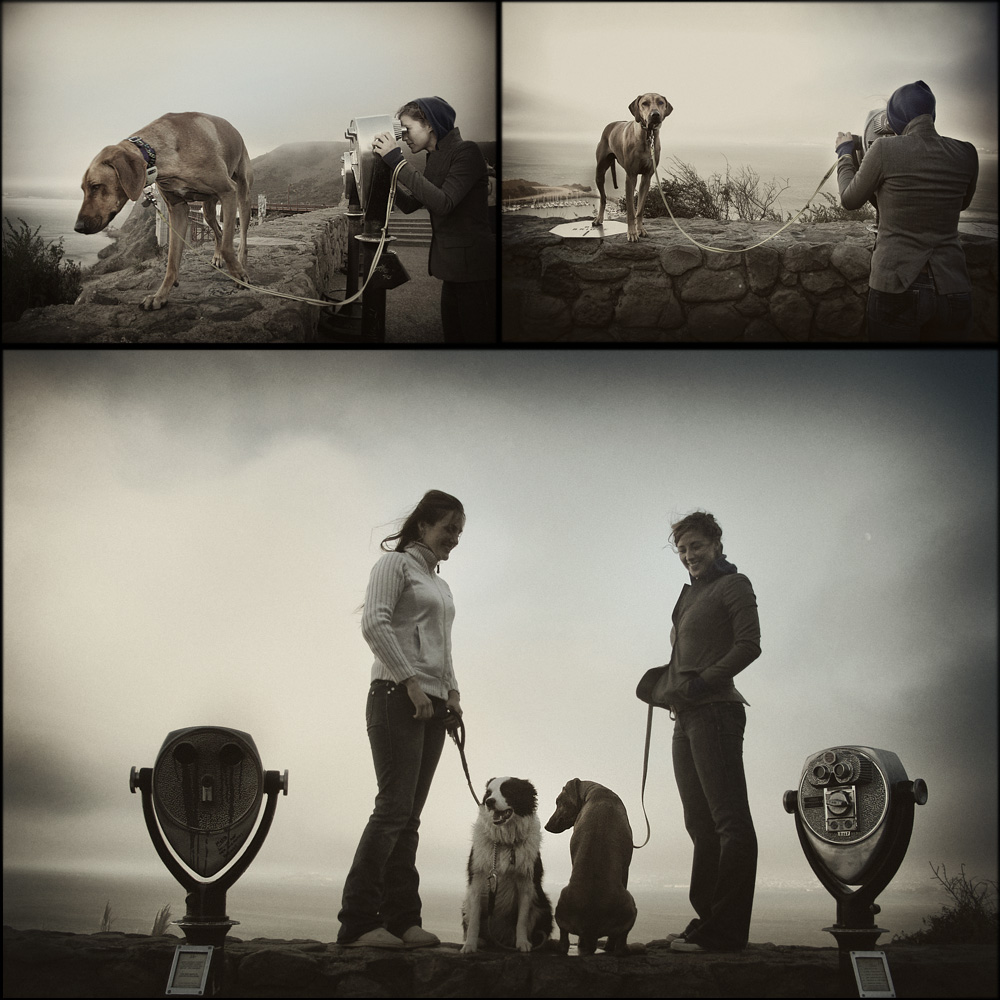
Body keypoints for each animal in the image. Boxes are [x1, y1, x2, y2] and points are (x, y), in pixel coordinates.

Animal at [75, 111, 254, 310]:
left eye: (96, 186)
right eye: (83, 189)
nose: (78, 227)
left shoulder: (228, 192)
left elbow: (228, 248)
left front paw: (238, 273)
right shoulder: (177, 209)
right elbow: (172, 261)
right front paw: (160, 295)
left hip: (241, 194)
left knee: (241, 236)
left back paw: (242, 264)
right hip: (207, 209)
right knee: (219, 231)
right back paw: (217, 257)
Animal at [544, 776, 636, 956]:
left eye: (558, 802)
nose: (547, 826)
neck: (596, 792)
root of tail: (591, 928)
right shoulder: (625, 870)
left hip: (562, 905)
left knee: (564, 941)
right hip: (631, 906)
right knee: (619, 945)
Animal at [592, 93, 672, 242]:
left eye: (660, 102)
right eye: (645, 103)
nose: (655, 114)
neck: (647, 135)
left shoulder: (647, 177)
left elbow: (639, 209)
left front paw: (640, 229)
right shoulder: (631, 176)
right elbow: (630, 210)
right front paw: (632, 232)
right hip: (600, 171)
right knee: (603, 198)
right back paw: (599, 219)